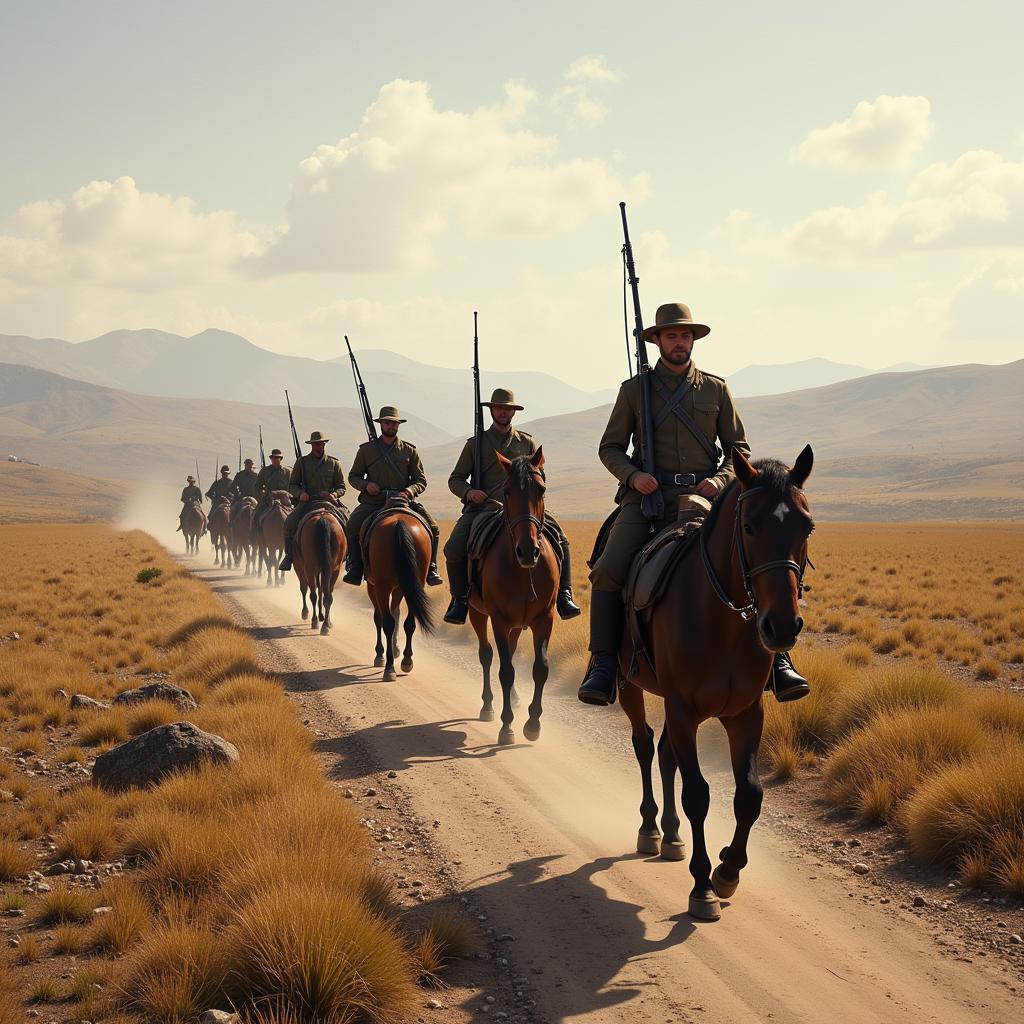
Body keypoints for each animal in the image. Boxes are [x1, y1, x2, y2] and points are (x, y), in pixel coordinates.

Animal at [366, 503, 434, 679]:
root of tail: (399, 523)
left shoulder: (373, 585)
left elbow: (381, 617)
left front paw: (381, 654)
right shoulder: (400, 587)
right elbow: (396, 612)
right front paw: (396, 650)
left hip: (381, 586)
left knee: (386, 622)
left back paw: (389, 667)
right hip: (415, 583)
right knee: (409, 622)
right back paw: (407, 661)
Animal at [468, 448, 557, 745]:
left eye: (541, 490)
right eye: (506, 492)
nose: (527, 551)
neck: (522, 571)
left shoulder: (545, 619)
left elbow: (540, 668)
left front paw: (533, 723)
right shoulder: (498, 619)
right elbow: (505, 671)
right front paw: (506, 726)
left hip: (519, 624)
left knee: (512, 649)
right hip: (476, 612)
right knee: (486, 655)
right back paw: (487, 706)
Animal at [614, 444, 815, 925]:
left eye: (808, 526)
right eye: (749, 526)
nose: (782, 626)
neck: (721, 621)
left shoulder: (745, 713)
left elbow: (750, 795)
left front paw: (728, 870)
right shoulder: (683, 710)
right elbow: (698, 795)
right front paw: (702, 886)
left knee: (665, 754)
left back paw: (671, 836)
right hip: (630, 684)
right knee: (644, 746)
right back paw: (650, 827)